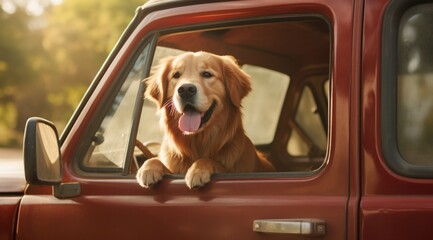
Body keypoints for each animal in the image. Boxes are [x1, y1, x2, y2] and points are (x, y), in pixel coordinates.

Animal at [135, 51, 274, 188]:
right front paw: (148, 168)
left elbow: (210, 161)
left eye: (207, 74)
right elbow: (154, 161)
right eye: (176, 75)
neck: (197, 141)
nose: (185, 90)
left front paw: (197, 170)